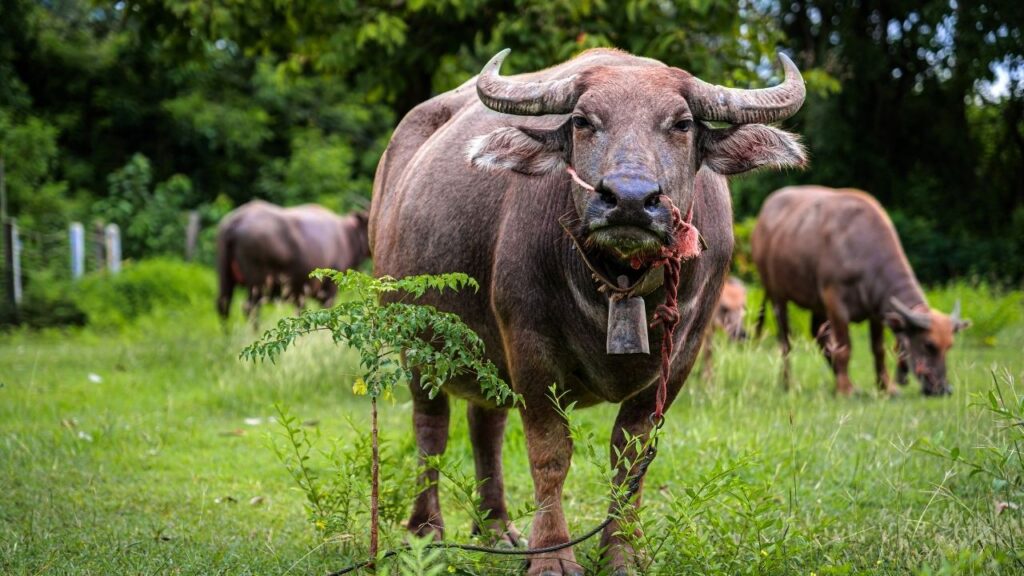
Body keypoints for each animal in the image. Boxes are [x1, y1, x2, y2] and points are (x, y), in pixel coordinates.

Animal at [216, 200, 369, 323]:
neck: (347, 236)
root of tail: (237, 220)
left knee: (223, 306)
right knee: (251, 308)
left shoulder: (299, 293)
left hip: (226, 278)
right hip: (258, 284)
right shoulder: (328, 290)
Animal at [370, 49, 806, 574]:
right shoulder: (530, 348)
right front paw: (553, 553)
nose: (630, 200)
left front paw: (622, 552)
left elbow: (631, 458)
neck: (621, 287)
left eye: (682, 123)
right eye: (582, 121)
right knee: (431, 428)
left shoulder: (681, 358)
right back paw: (427, 532)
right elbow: (550, 453)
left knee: (486, 424)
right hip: (413, 338)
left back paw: (497, 528)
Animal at [752, 186, 970, 396]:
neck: (862, 251)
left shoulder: (876, 309)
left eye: (949, 345)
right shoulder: (835, 304)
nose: (944, 389)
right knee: (785, 342)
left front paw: (886, 387)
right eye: (929, 345)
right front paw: (845, 389)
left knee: (818, 335)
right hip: (777, 296)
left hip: (817, 304)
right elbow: (845, 347)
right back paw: (789, 383)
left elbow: (878, 349)